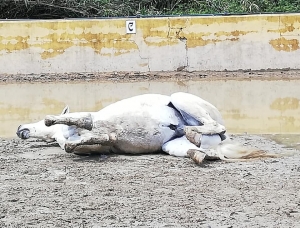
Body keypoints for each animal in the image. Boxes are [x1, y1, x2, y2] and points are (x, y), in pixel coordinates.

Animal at [15, 91, 276, 163]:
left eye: (36, 121)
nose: (20, 129)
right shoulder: (101, 141)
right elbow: (82, 143)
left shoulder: (90, 121)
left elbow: (82, 123)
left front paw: (52, 120)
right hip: (173, 146)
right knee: (208, 149)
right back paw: (200, 152)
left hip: (182, 99)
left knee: (214, 125)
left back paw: (192, 132)